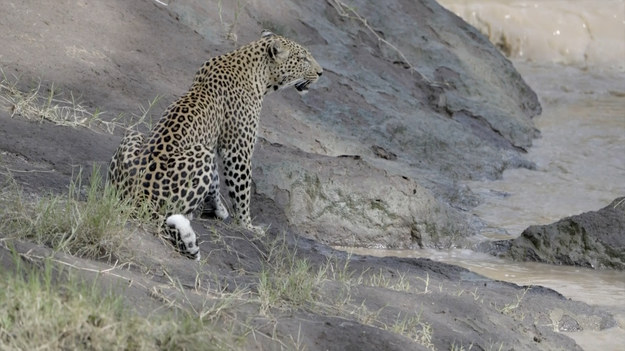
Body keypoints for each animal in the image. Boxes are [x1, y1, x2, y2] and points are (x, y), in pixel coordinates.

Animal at [108, 31, 322, 262]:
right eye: (303, 59)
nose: (321, 72)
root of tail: (136, 197)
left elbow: (215, 180)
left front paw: (220, 209)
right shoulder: (237, 150)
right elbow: (241, 190)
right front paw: (247, 225)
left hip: (134, 135)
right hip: (200, 154)